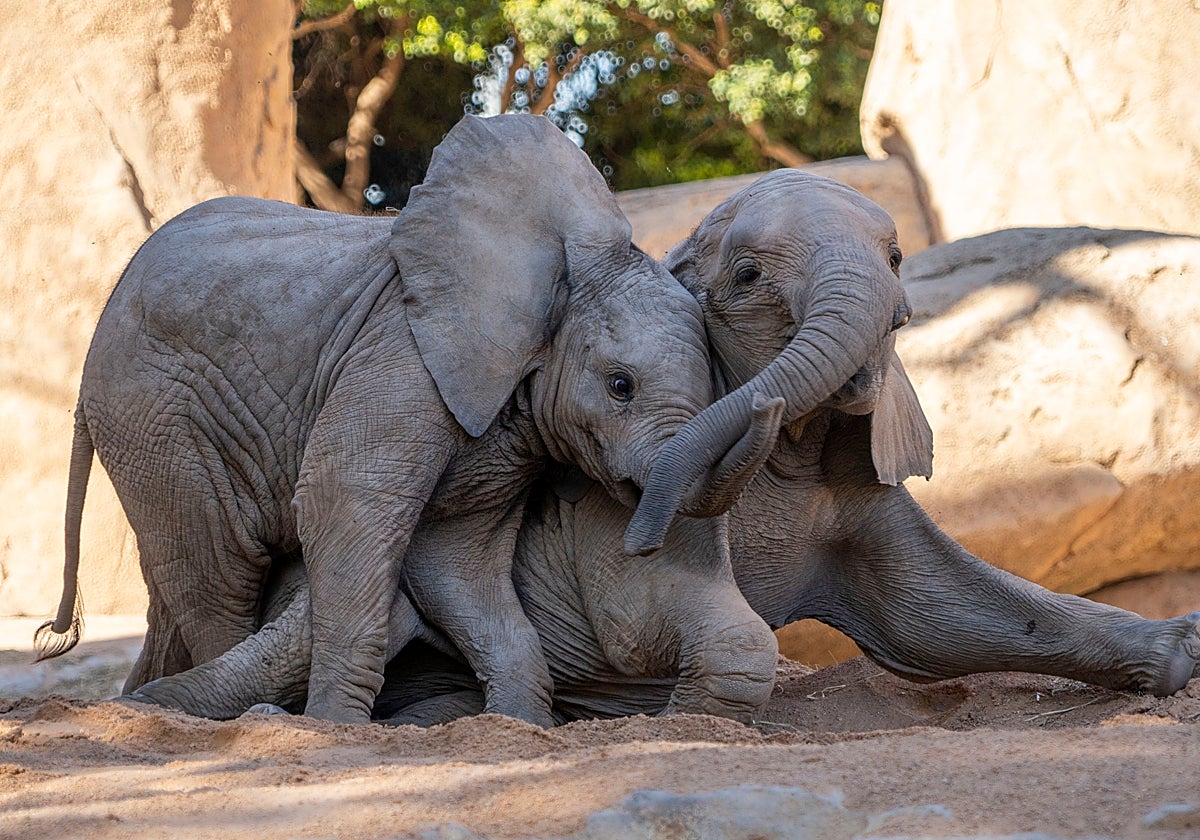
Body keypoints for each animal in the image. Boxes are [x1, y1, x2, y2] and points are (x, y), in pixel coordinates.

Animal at [34, 114, 778, 726]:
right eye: (620, 386)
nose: (640, 540)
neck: (558, 270)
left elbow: (460, 556)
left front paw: (516, 728)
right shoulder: (403, 353)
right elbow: (347, 499)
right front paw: (334, 730)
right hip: (155, 410)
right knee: (215, 570)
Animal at [115, 169, 1200, 724]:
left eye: (899, 257)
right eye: (749, 275)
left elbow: (941, 616)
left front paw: (1176, 655)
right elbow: (680, 617)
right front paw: (688, 716)